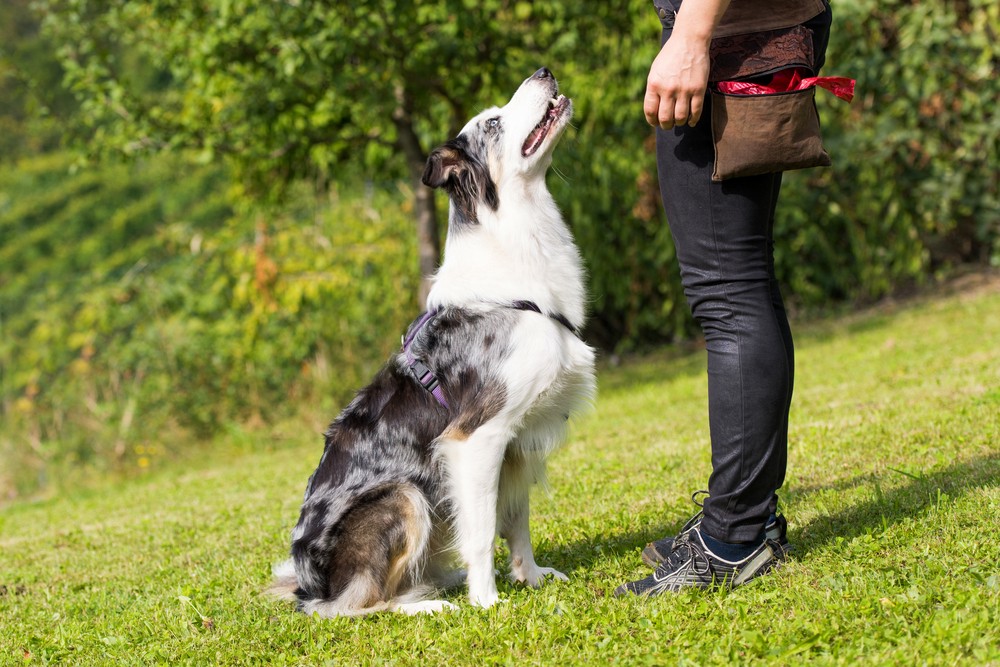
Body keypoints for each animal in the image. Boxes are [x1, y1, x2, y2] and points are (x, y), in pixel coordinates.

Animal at [270, 66, 592, 616]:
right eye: (492, 123)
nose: (544, 71)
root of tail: (310, 586)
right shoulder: (476, 436)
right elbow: (482, 530)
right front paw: (487, 601)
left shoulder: (515, 440)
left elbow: (516, 520)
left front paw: (529, 577)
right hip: (402, 497)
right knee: (354, 605)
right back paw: (429, 605)